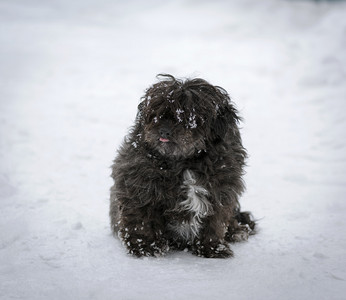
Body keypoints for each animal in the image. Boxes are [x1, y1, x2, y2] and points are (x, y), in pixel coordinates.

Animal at [109, 75, 255, 258]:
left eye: (189, 117)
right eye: (156, 113)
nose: (164, 131)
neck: (185, 161)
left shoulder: (221, 192)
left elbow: (214, 222)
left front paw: (212, 248)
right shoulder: (138, 188)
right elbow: (141, 219)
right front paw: (146, 247)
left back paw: (237, 230)